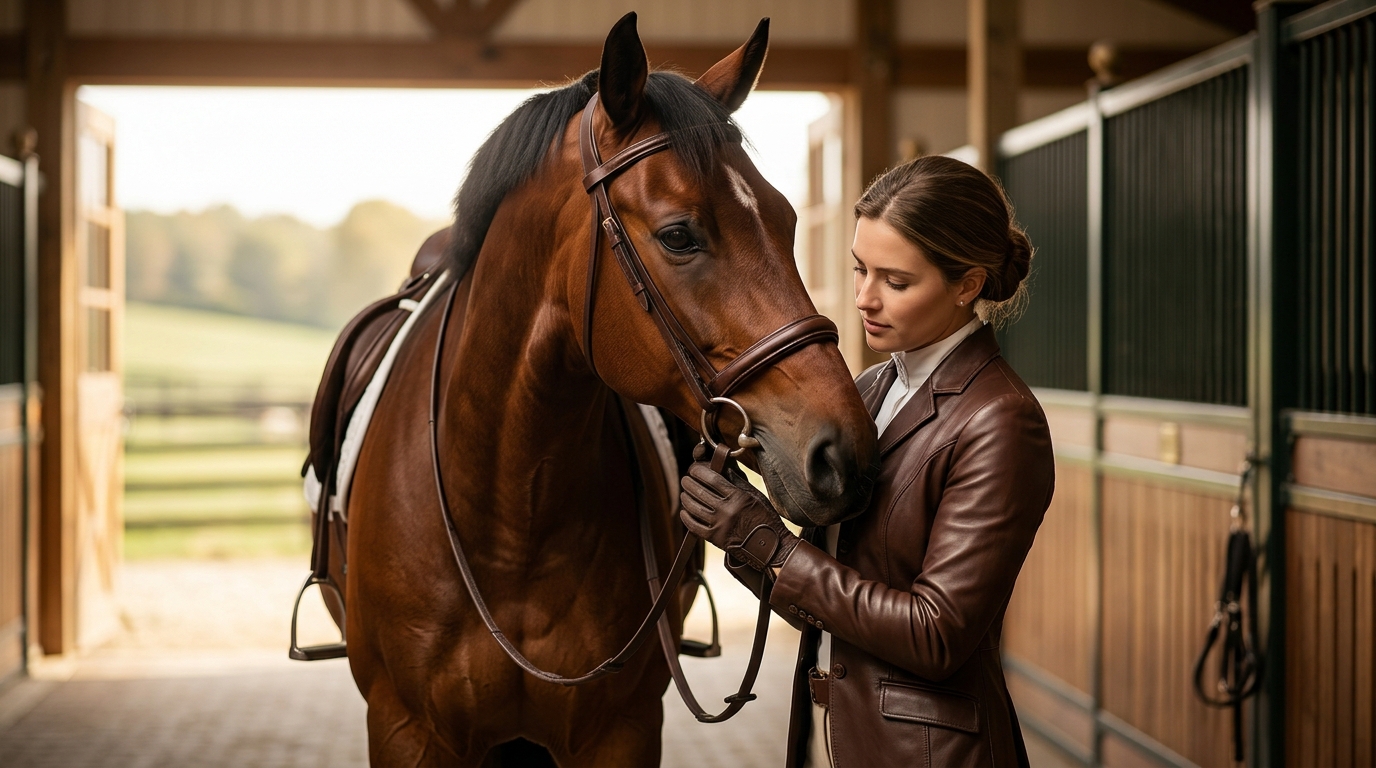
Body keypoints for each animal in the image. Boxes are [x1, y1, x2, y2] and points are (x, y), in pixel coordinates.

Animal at [340, 14, 879, 766]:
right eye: (679, 235)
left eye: (787, 221)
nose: (842, 453)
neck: (510, 518)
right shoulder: (406, 730)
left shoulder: (621, 729)